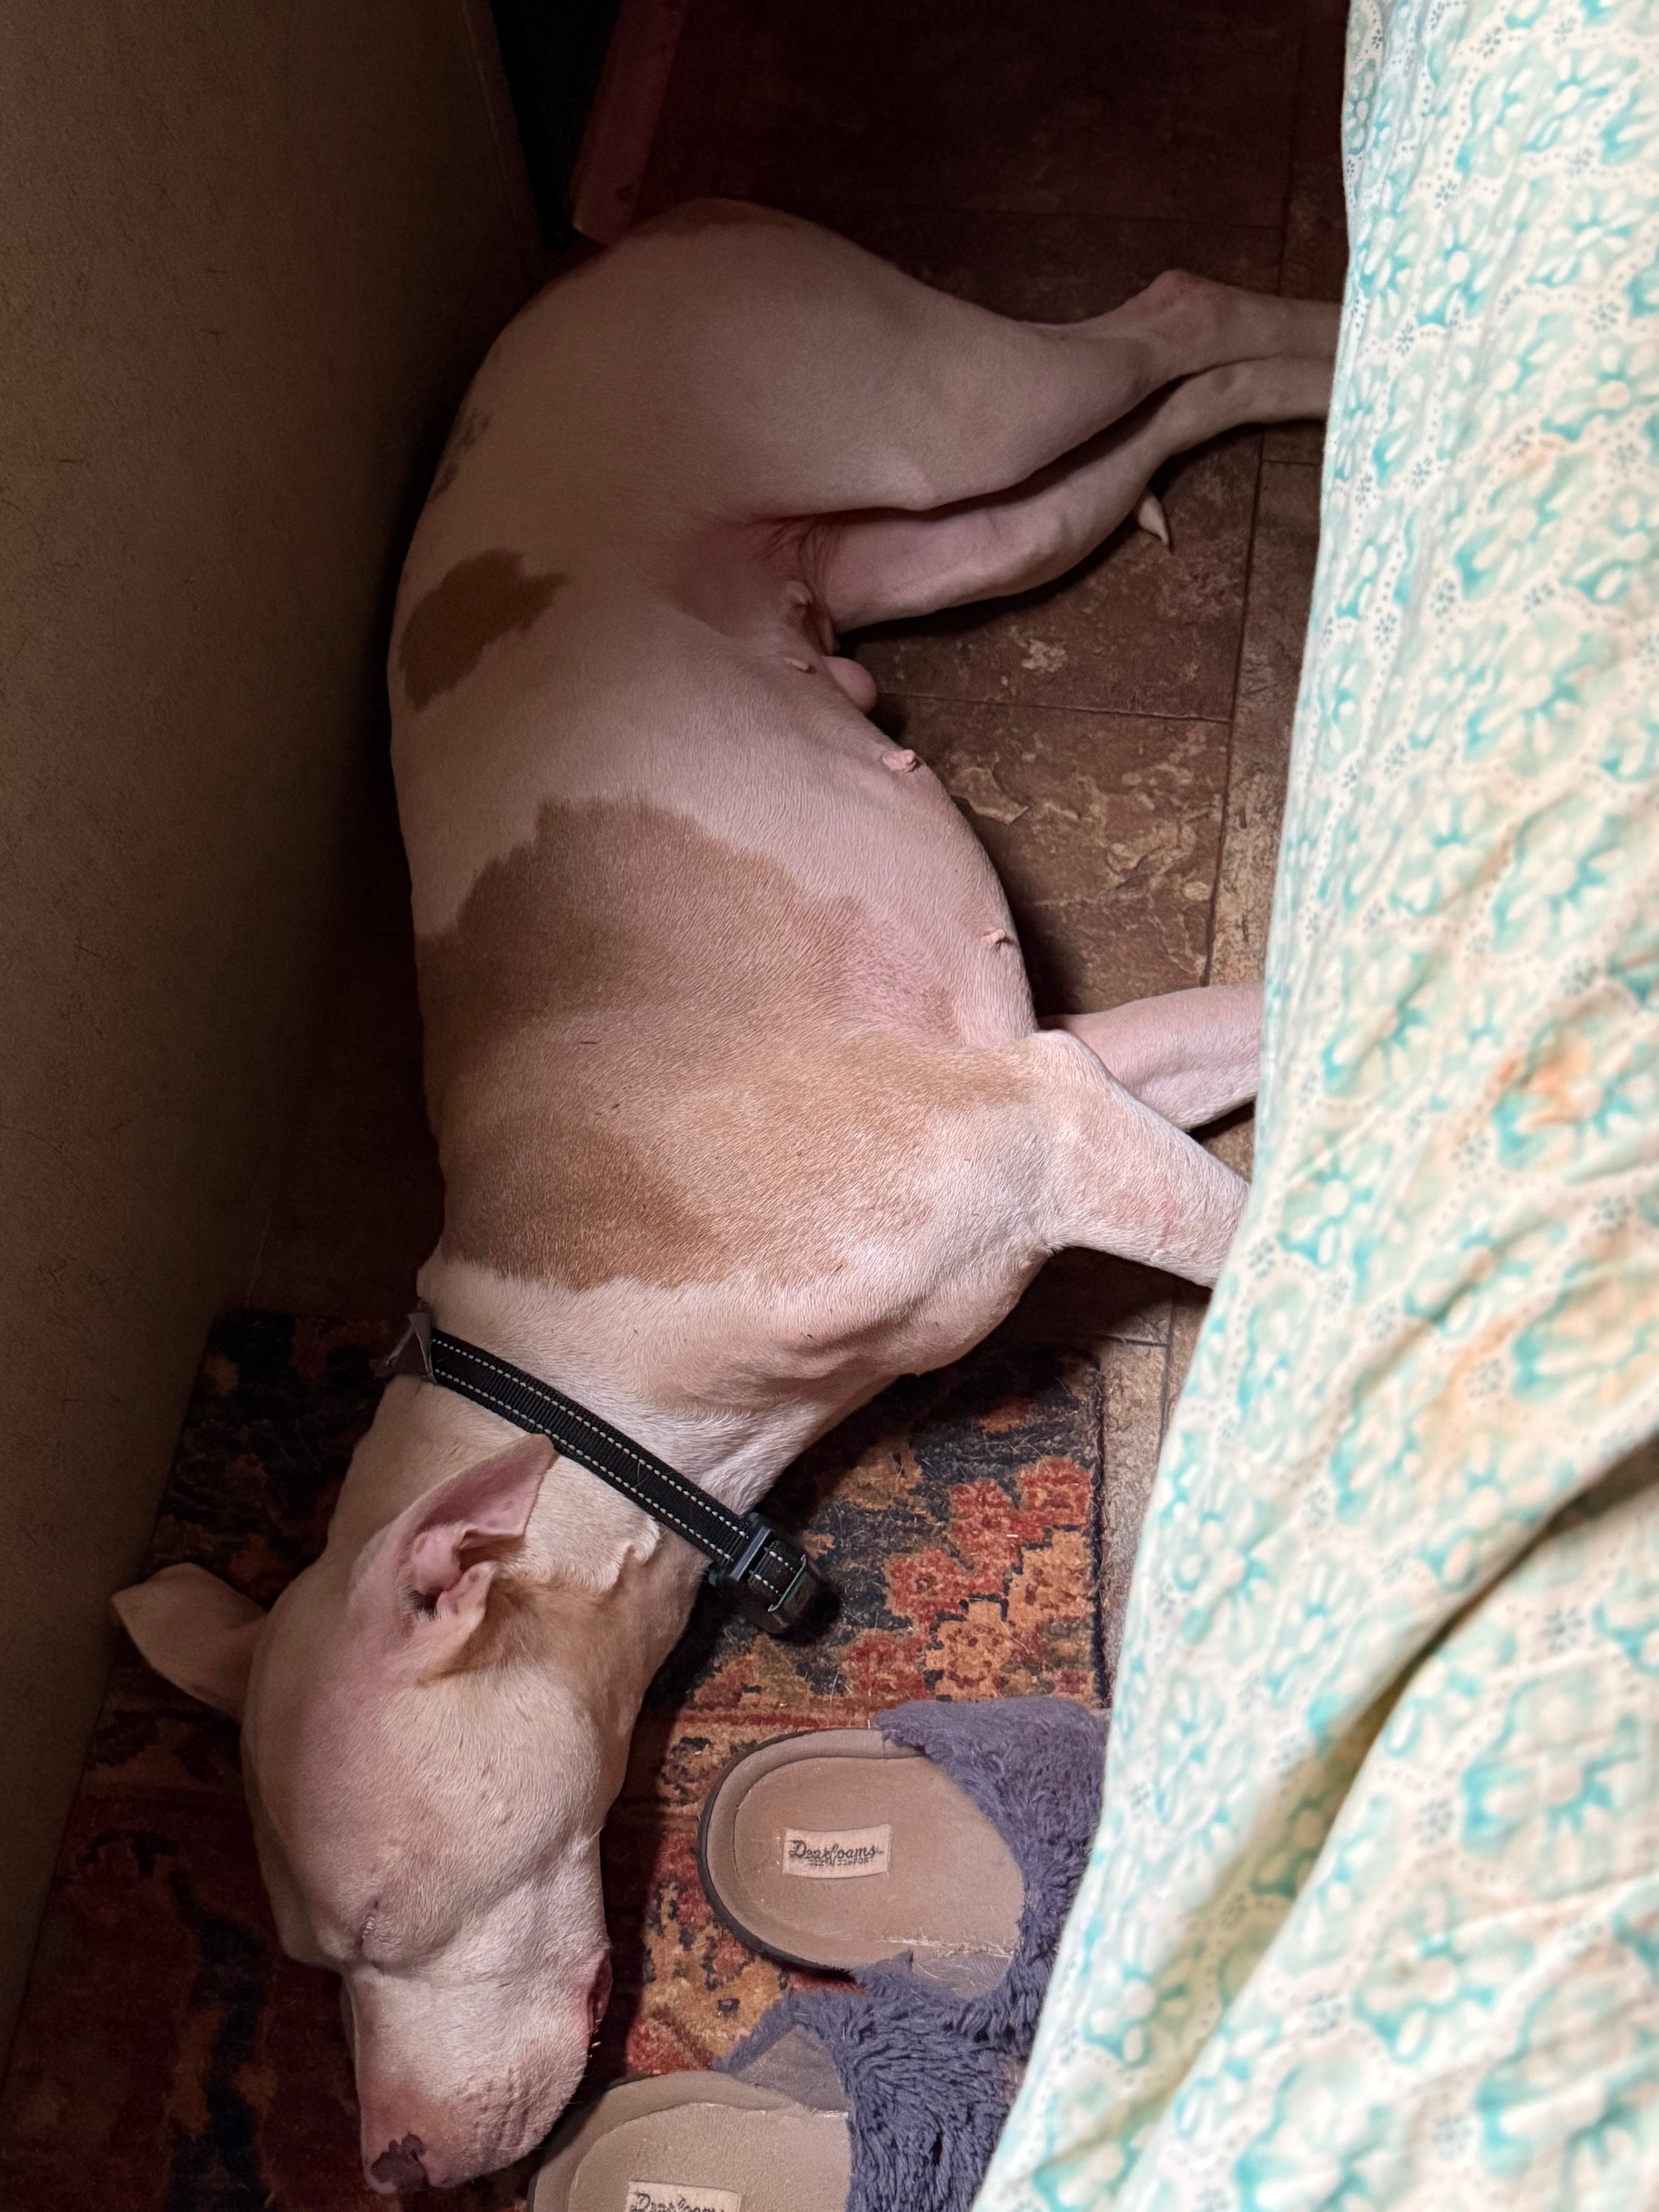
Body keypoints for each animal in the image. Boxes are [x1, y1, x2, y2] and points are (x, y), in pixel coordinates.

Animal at [114, 203, 1336, 2191]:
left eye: (378, 1921)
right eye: (303, 1956)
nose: (397, 2168)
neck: (574, 1385)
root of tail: (621, 247)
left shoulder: (1052, 1137)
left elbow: (1251, 1243)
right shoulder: (1075, 1078)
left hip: (924, 412)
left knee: (1165, 316)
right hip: (955, 534)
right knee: (1157, 408)